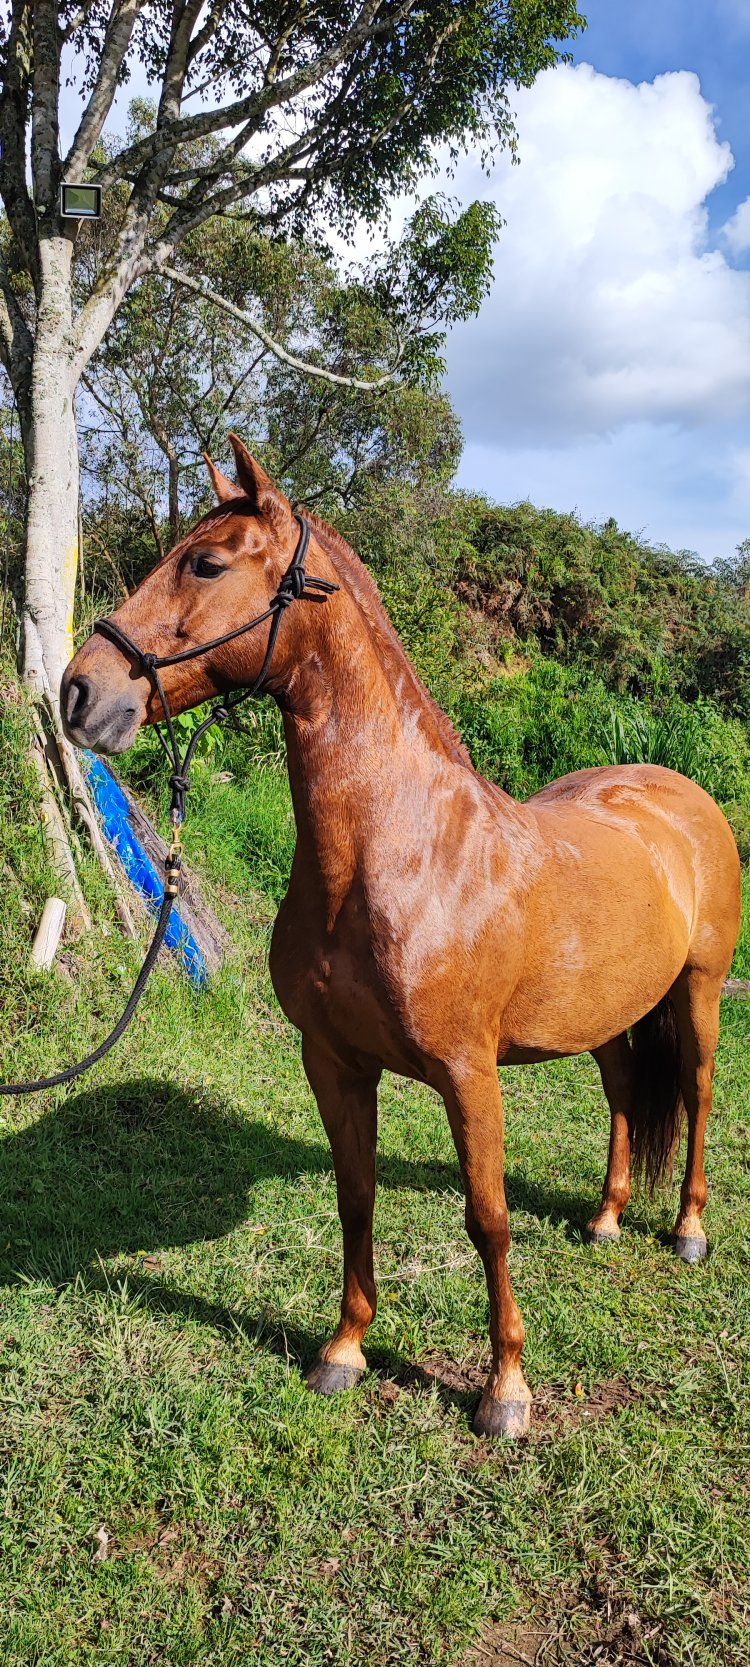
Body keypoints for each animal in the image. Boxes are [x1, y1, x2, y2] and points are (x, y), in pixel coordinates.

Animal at [61, 435, 742, 1437]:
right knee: (623, 1091)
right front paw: (344, 1349)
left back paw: (688, 1229)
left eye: (207, 563)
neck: (400, 849)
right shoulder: (334, 1061)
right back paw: (606, 1218)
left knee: (693, 1092)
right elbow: (357, 1196)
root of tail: (677, 793)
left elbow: (488, 1218)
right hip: (605, 1012)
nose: (79, 692)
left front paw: (505, 1390)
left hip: (696, 991)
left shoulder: (468, 1073)